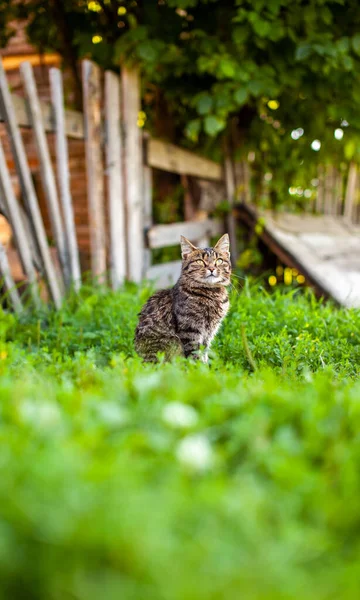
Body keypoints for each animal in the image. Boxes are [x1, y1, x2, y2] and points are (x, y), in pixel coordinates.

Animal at [134, 234, 231, 364]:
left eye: (219, 260)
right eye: (200, 261)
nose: (211, 268)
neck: (211, 293)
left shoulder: (209, 332)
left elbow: (204, 352)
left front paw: (207, 367)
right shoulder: (190, 330)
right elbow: (194, 355)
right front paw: (198, 367)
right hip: (171, 343)